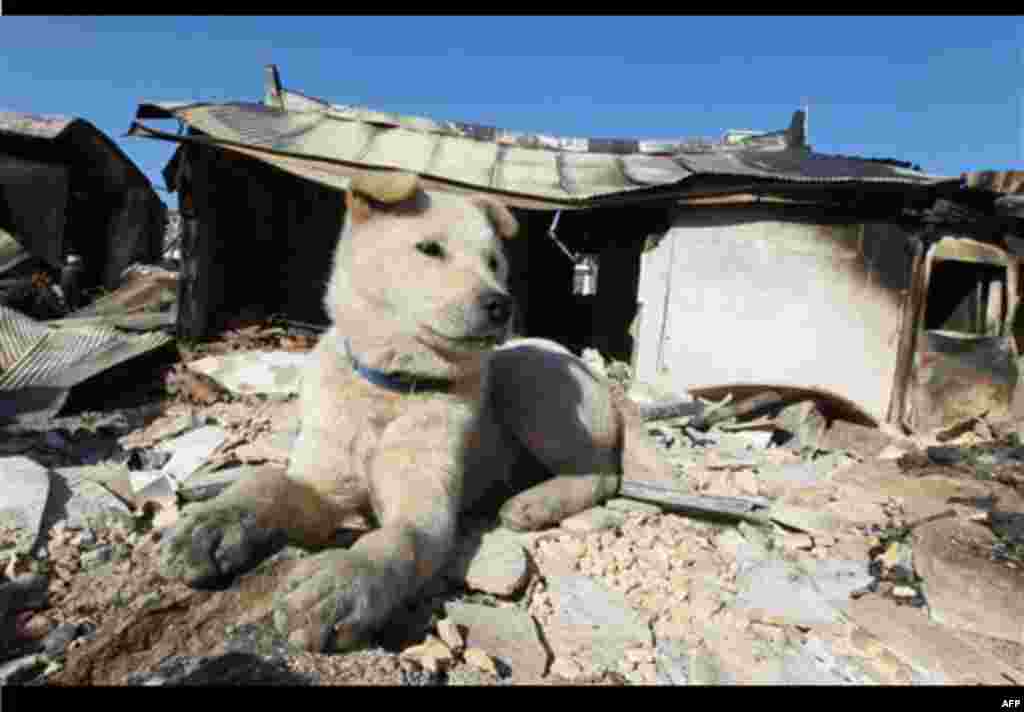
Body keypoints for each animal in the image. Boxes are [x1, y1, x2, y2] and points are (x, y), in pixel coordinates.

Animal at [159, 171, 675, 651]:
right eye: (429, 249)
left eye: (494, 263)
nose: (501, 304)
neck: (390, 391)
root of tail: (604, 381)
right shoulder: (323, 483)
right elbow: (265, 484)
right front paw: (212, 526)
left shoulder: (424, 511)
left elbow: (395, 542)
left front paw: (342, 583)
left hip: (530, 376)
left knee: (604, 473)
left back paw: (534, 503)